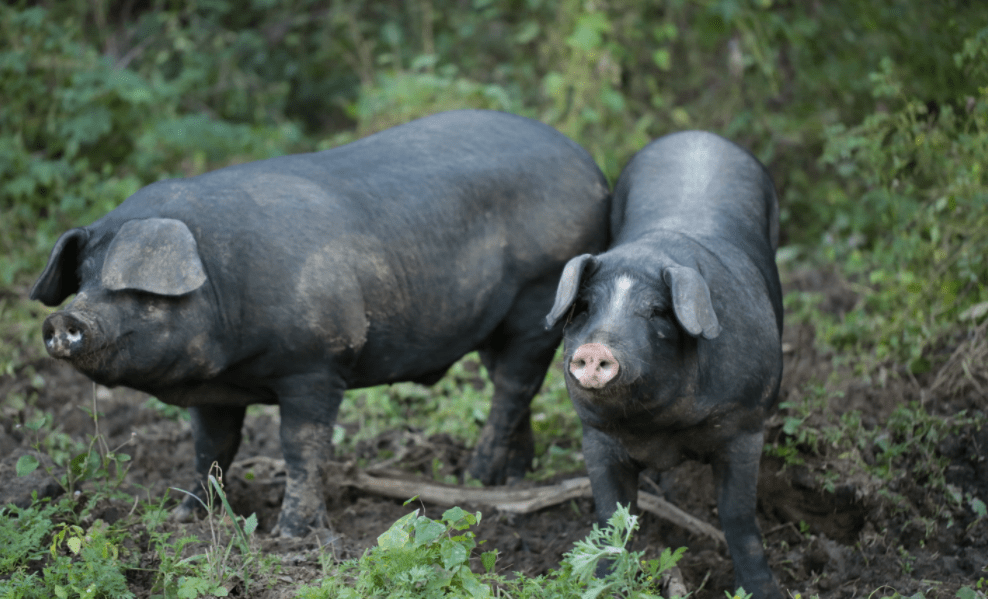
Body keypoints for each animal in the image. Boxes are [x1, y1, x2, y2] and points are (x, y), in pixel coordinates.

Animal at [30, 109, 612, 540]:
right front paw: (186, 516)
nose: (62, 318)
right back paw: (514, 475)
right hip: (497, 321)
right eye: (83, 278)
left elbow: (301, 447)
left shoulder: (316, 364)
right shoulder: (215, 392)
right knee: (514, 386)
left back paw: (473, 476)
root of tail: (590, 166)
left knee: (513, 385)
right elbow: (211, 448)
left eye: (132, 290)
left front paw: (291, 535)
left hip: (538, 296)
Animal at [544, 131, 784, 599]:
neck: (657, 422)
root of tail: (697, 135)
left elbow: (738, 516)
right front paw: (604, 582)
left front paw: (762, 591)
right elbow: (611, 518)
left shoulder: (746, 423)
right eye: (585, 306)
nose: (596, 348)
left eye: (656, 311)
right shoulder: (595, 435)